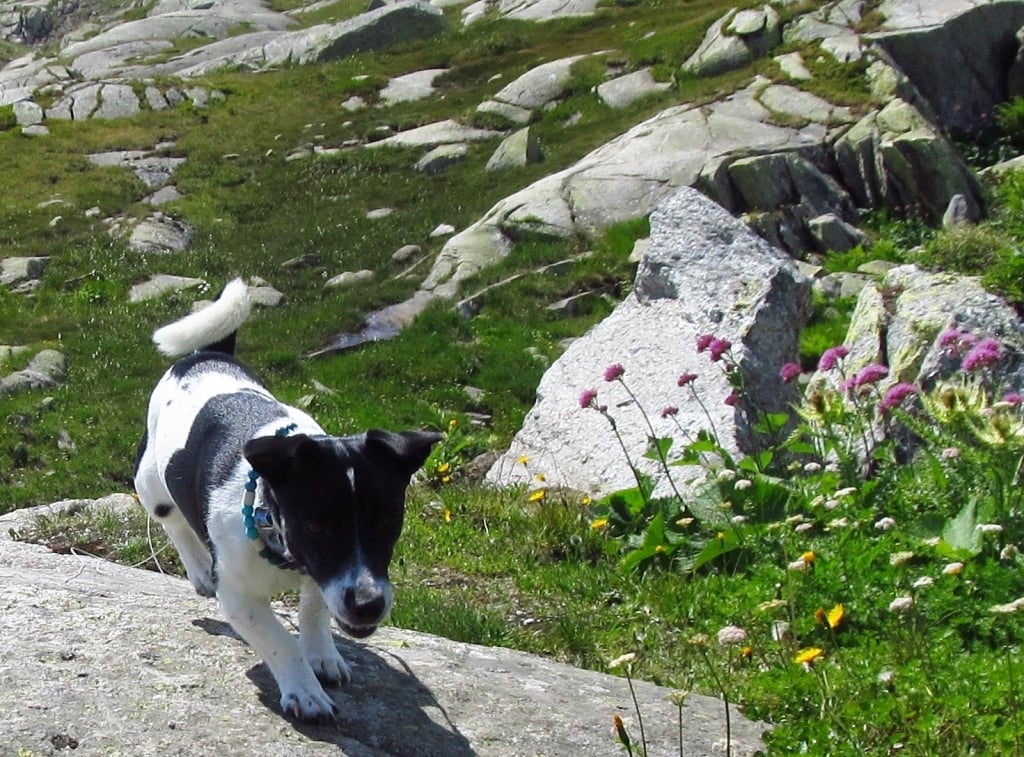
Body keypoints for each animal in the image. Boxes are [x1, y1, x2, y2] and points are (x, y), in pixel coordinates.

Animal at [133, 279, 441, 721]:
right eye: (315, 525)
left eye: (387, 522)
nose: (368, 604)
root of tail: (206, 357)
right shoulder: (240, 596)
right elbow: (279, 639)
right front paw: (305, 689)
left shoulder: (322, 578)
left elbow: (313, 610)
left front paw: (322, 656)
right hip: (151, 483)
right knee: (173, 521)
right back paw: (199, 571)